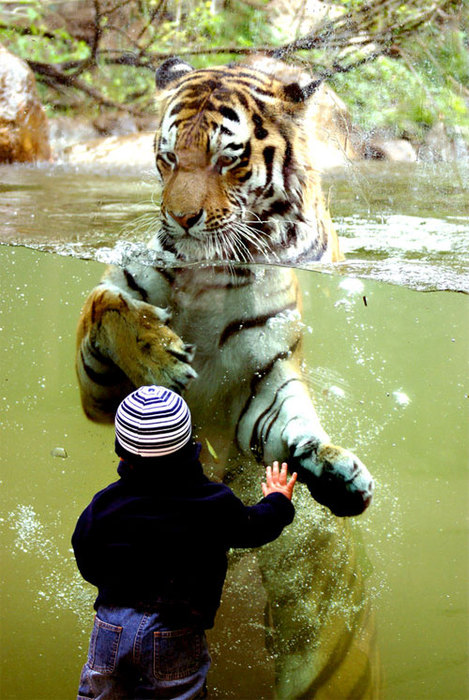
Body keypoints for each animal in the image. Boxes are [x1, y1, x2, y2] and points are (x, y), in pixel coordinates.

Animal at [76, 57, 376, 696]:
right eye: (167, 158)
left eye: (228, 159)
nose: (181, 220)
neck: (206, 278)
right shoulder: (100, 388)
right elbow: (106, 303)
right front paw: (159, 356)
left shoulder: (265, 383)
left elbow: (293, 428)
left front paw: (336, 473)